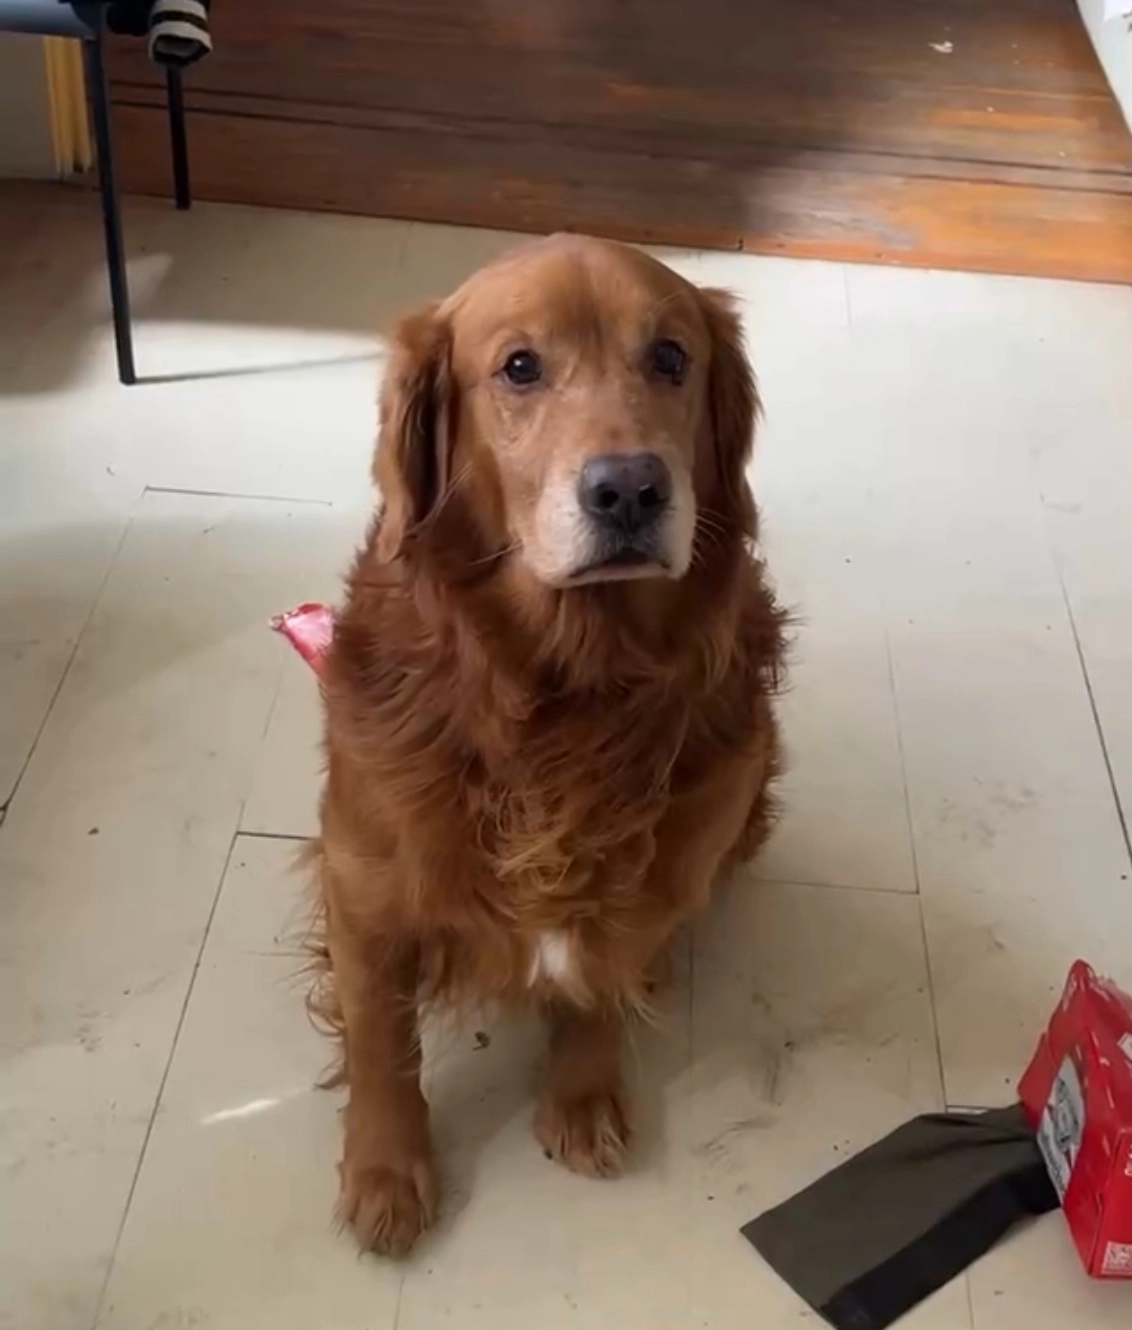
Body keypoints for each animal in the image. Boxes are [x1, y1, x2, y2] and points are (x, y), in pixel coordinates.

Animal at [309, 234, 786, 1256]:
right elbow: (381, 1037)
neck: (570, 696)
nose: (630, 489)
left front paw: (581, 1092)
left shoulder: (655, 880)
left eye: (671, 358)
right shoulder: (361, 885)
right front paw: (385, 1170)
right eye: (520, 368)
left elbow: (601, 982)